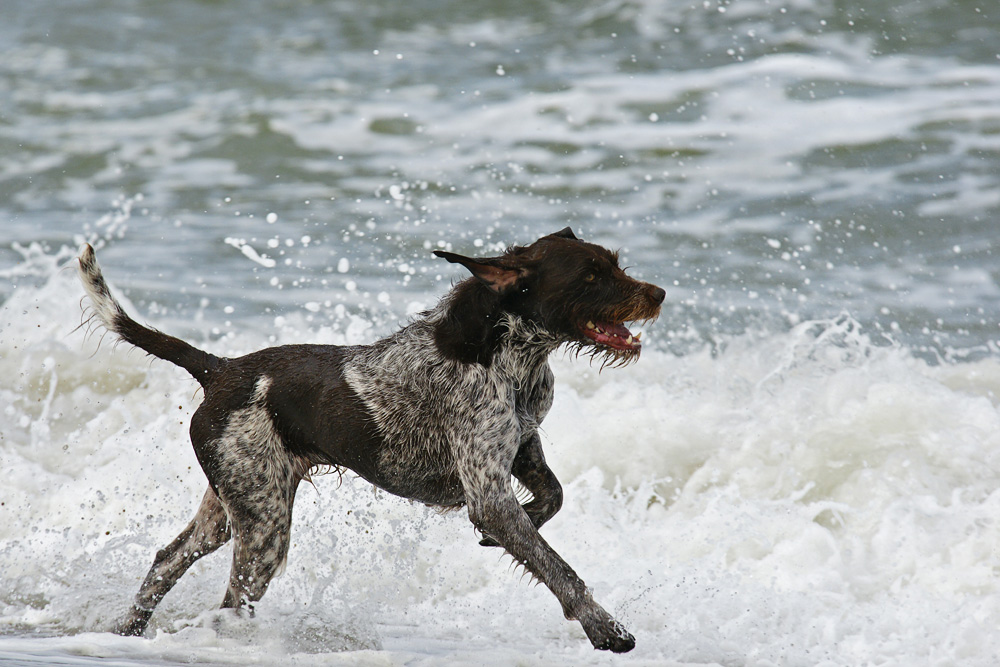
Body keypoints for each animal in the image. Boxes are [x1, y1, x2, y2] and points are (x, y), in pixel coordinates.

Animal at [78, 228, 664, 652]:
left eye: (614, 263)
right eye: (591, 275)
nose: (658, 294)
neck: (505, 352)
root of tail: (220, 369)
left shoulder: (521, 445)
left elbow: (552, 496)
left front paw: (505, 535)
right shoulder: (489, 490)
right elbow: (559, 569)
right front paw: (605, 628)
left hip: (230, 506)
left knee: (166, 560)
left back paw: (126, 633)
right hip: (264, 525)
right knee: (229, 603)